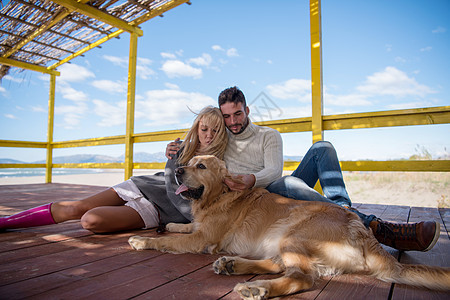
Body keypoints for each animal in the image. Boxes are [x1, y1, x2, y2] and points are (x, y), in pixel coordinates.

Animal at [127, 155, 450, 298]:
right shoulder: (199, 230)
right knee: (280, 265)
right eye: (191, 162)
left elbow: (168, 241)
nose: (178, 170)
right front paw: (170, 223)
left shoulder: (203, 239)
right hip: (283, 241)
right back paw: (233, 265)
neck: (218, 195)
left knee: (301, 277)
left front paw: (143, 241)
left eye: (201, 166)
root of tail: (360, 228)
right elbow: (180, 228)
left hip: (293, 235)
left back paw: (256, 287)